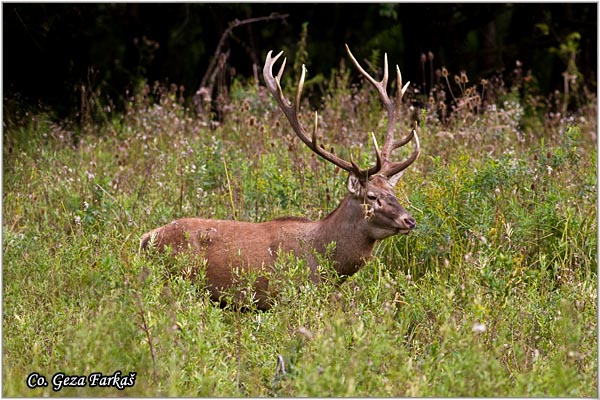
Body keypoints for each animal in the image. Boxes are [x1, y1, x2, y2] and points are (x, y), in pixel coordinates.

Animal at [141, 45, 422, 310]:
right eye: (372, 196)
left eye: (393, 192)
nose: (409, 220)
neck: (322, 259)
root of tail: (145, 239)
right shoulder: (284, 296)